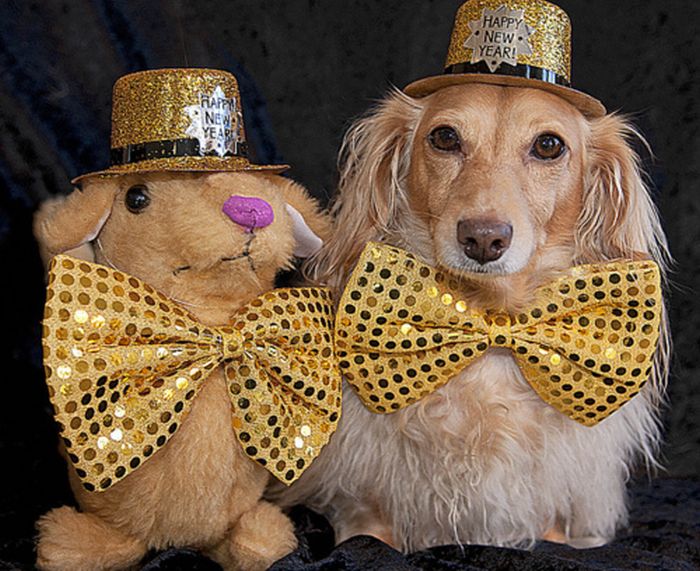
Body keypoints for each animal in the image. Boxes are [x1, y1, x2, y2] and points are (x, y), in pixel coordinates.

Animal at [276, 0, 668, 556]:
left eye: (549, 145)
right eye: (444, 137)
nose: (483, 239)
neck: (489, 324)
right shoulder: (363, 500)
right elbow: (368, 529)